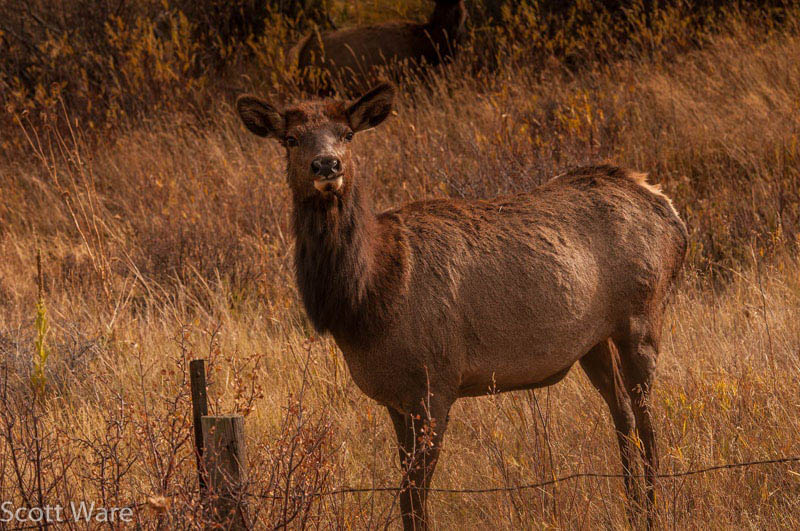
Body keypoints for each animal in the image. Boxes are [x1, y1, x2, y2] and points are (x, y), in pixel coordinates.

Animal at [236, 83, 687, 529]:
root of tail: (667, 206)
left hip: (642, 316)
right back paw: (634, 509)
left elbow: (414, 497)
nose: (327, 165)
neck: (369, 301)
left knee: (647, 420)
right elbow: (407, 495)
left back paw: (655, 511)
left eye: (347, 134)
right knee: (622, 413)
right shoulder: (395, 398)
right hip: (593, 341)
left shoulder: (435, 382)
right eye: (290, 139)